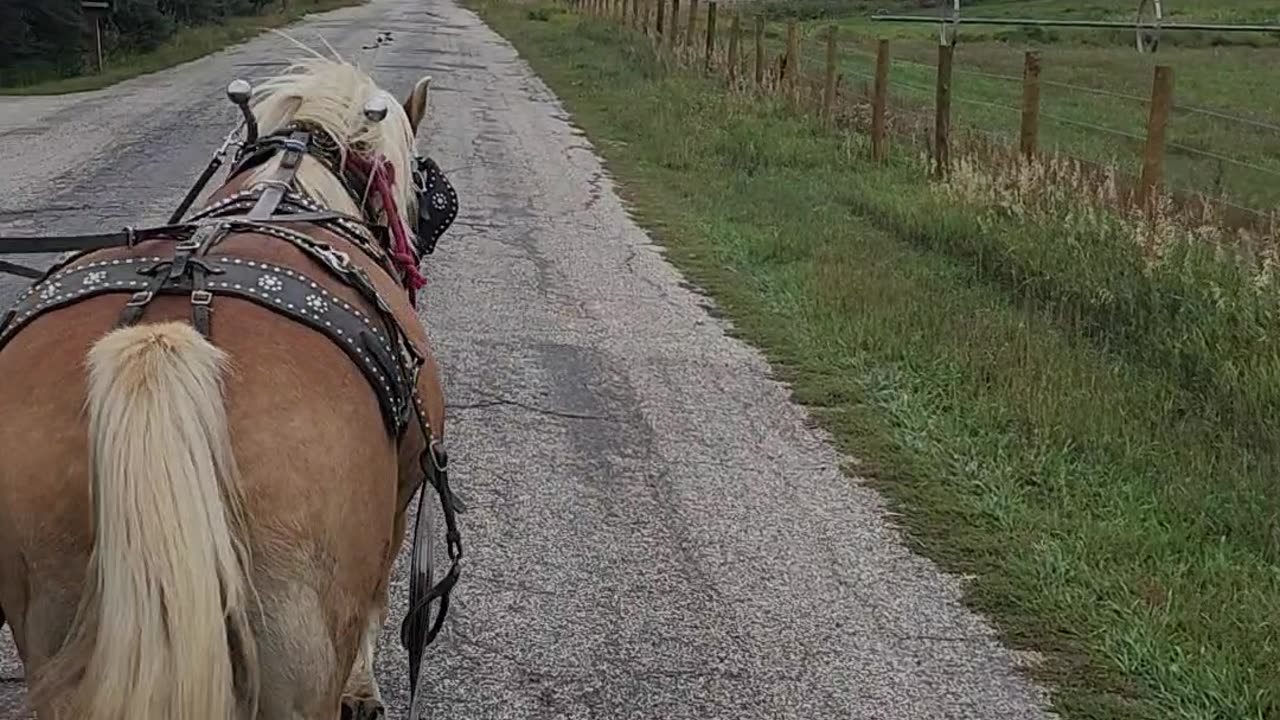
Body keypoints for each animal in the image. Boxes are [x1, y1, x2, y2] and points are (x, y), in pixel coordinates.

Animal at [0, 53, 463, 712]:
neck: (293, 185)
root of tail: (162, 345)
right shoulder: (401, 497)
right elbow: (377, 603)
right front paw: (363, 689)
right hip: (298, 654)